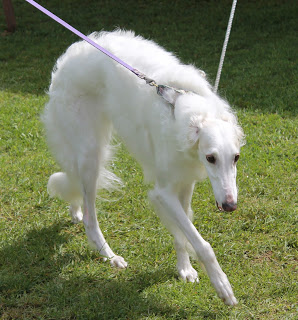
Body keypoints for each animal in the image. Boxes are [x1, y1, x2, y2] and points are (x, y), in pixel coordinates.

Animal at [43, 29, 244, 304]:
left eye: (236, 157)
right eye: (211, 158)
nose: (230, 206)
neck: (183, 112)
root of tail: (68, 57)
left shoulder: (185, 181)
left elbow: (182, 233)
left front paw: (185, 269)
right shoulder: (162, 192)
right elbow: (201, 243)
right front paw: (222, 286)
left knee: (76, 192)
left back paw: (75, 211)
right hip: (90, 154)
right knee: (90, 217)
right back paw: (109, 255)